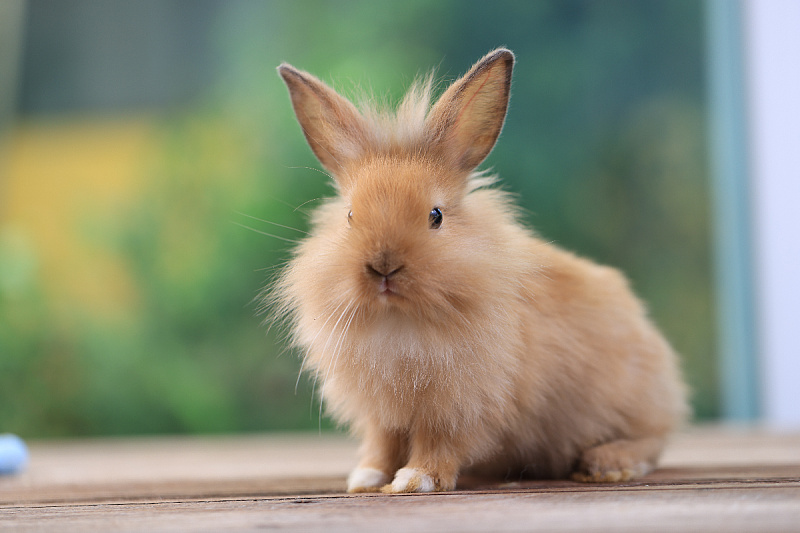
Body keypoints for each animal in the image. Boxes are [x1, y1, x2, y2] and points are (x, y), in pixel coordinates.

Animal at [274, 47, 688, 492]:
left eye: (436, 216)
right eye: (350, 216)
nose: (383, 266)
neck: (399, 319)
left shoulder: (459, 406)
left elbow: (438, 443)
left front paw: (414, 480)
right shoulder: (382, 412)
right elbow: (382, 444)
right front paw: (366, 478)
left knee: (652, 442)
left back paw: (608, 464)